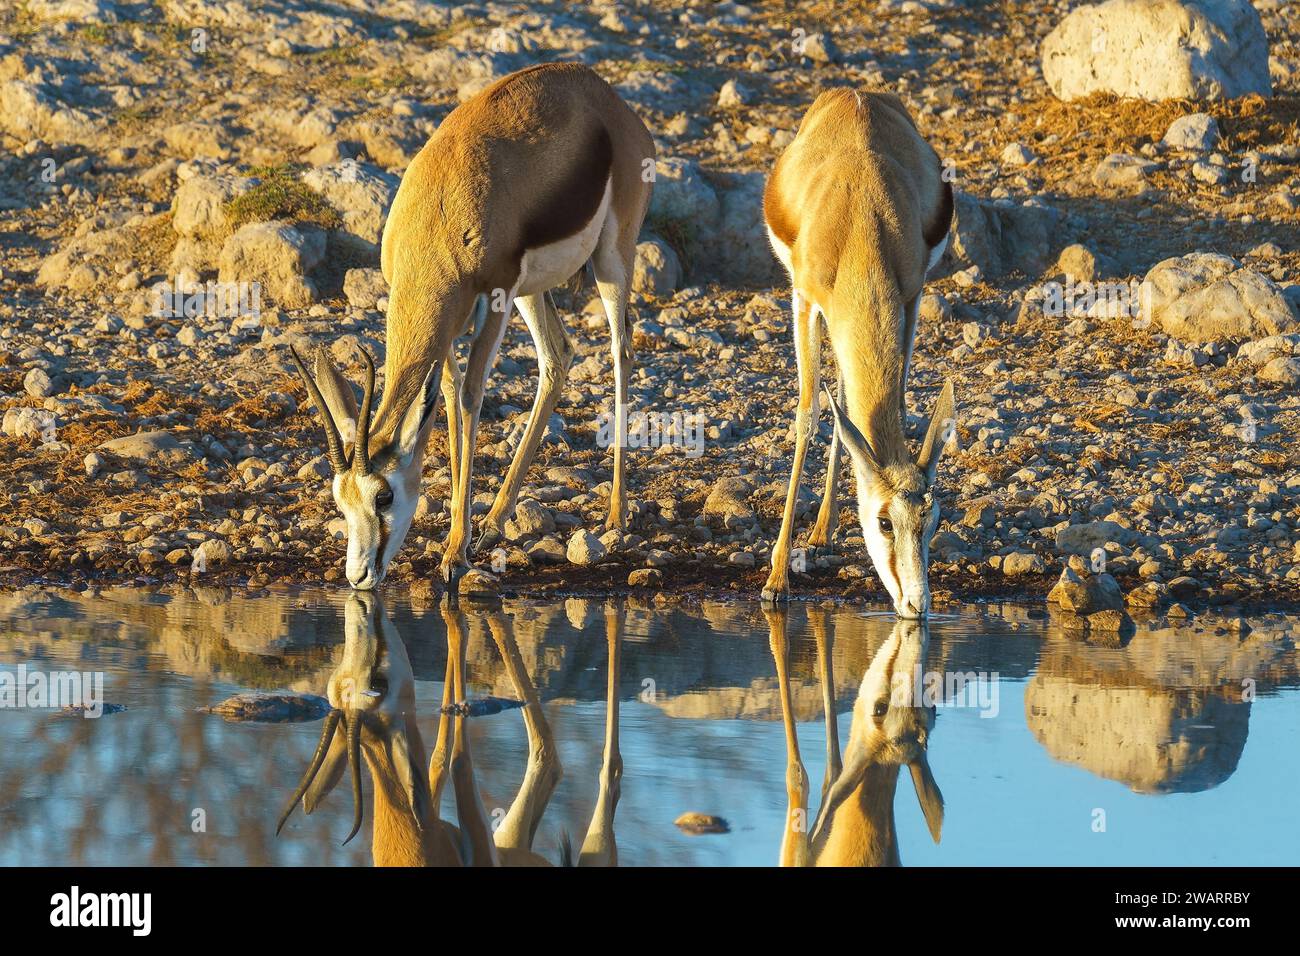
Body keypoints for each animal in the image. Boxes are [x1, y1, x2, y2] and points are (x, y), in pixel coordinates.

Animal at [273, 590, 618, 868]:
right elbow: (446, 760)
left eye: (378, 682)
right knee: (551, 761)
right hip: (512, 836)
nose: (364, 613)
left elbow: (452, 759)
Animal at [291, 61, 655, 590]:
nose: (359, 576)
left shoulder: (495, 298)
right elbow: (443, 394)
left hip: (610, 259)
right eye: (341, 499)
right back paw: (494, 523)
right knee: (557, 357)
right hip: (532, 291)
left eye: (383, 495)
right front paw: (456, 540)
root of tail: (607, 97)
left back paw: (616, 515)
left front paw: (453, 555)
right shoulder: (447, 322)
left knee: (620, 351)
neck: (436, 223)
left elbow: (469, 396)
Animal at [759, 89, 956, 621]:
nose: (916, 604)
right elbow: (808, 414)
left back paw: (823, 530)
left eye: (933, 520)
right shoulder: (805, 300)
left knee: (847, 399)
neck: (860, 225)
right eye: (885, 522)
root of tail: (856, 94)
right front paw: (776, 579)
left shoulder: (910, 298)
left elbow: (887, 405)